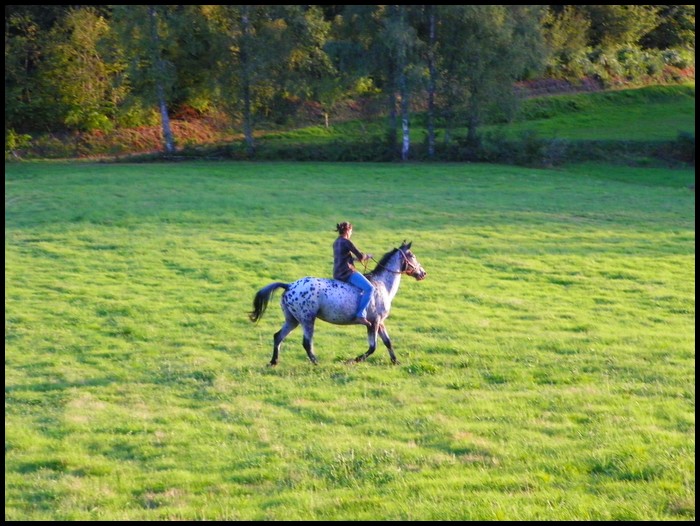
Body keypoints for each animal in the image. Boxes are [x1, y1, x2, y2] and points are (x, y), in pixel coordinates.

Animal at [252, 242, 426, 368]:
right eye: (412, 256)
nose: (423, 273)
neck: (381, 284)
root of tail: (289, 286)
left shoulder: (380, 322)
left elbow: (387, 342)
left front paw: (396, 361)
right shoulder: (374, 322)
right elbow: (373, 347)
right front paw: (354, 360)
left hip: (292, 320)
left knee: (278, 336)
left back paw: (273, 362)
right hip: (307, 320)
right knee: (306, 343)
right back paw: (316, 362)